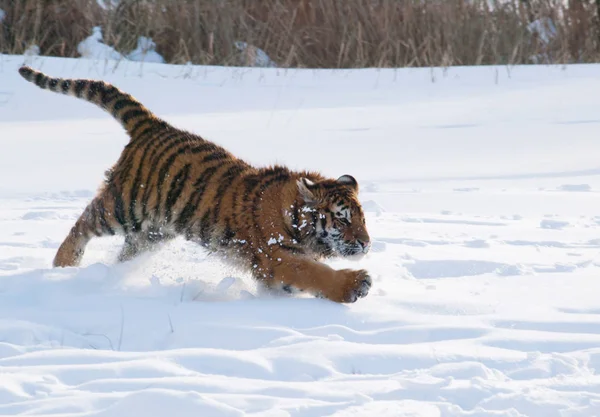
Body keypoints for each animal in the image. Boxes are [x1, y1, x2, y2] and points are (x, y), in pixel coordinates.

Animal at [18, 66, 372, 304]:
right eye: (342, 219)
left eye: (362, 219)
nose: (367, 244)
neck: (300, 222)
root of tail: (152, 124)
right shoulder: (278, 257)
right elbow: (315, 274)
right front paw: (356, 285)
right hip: (123, 206)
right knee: (83, 223)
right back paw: (64, 264)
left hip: (153, 231)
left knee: (123, 253)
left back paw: (110, 278)